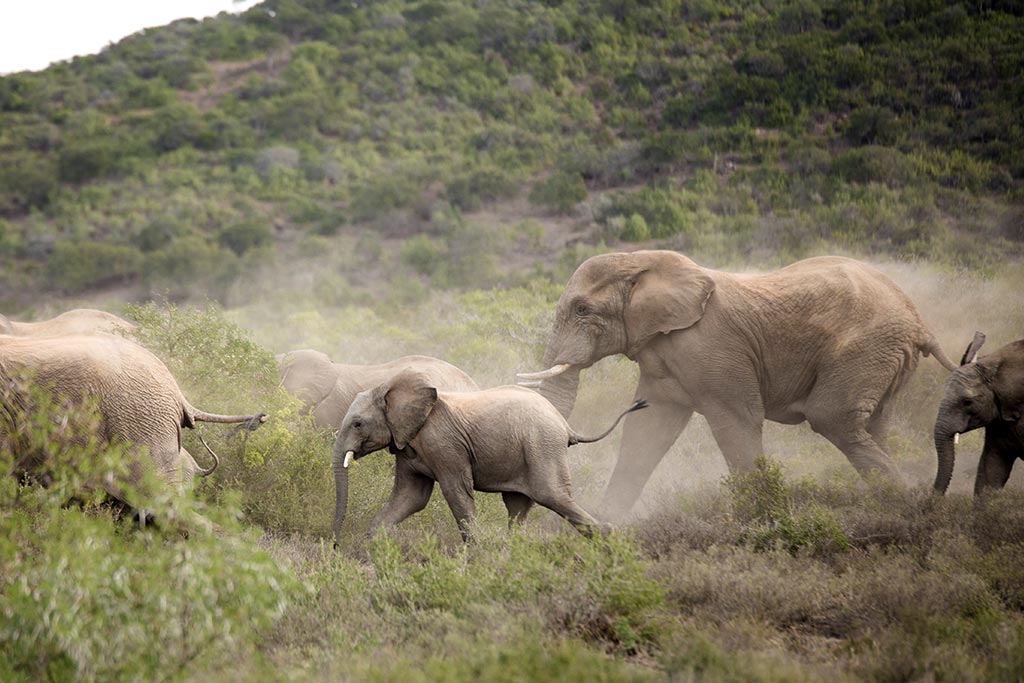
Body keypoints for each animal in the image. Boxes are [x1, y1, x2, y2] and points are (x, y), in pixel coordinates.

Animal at [331, 368, 643, 544]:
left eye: (357, 424)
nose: (336, 545)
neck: (389, 388)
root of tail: (565, 424)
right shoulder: (407, 445)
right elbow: (411, 497)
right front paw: (373, 547)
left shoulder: (444, 443)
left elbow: (456, 492)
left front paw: (475, 553)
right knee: (518, 506)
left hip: (542, 445)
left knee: (552, 495)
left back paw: (610, 540)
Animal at [520, 253, 958, 520]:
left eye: (583, 309)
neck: (643, 261)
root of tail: (919, 321)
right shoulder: (661, 354)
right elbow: (647, 430)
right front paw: (611, 521)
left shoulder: (712, 346)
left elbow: (738, 420)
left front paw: (760, 521)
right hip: (884, 358)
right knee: (872, 426)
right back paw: (897, 503)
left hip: (864, 348)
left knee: (832, 418)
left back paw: (909, 504)